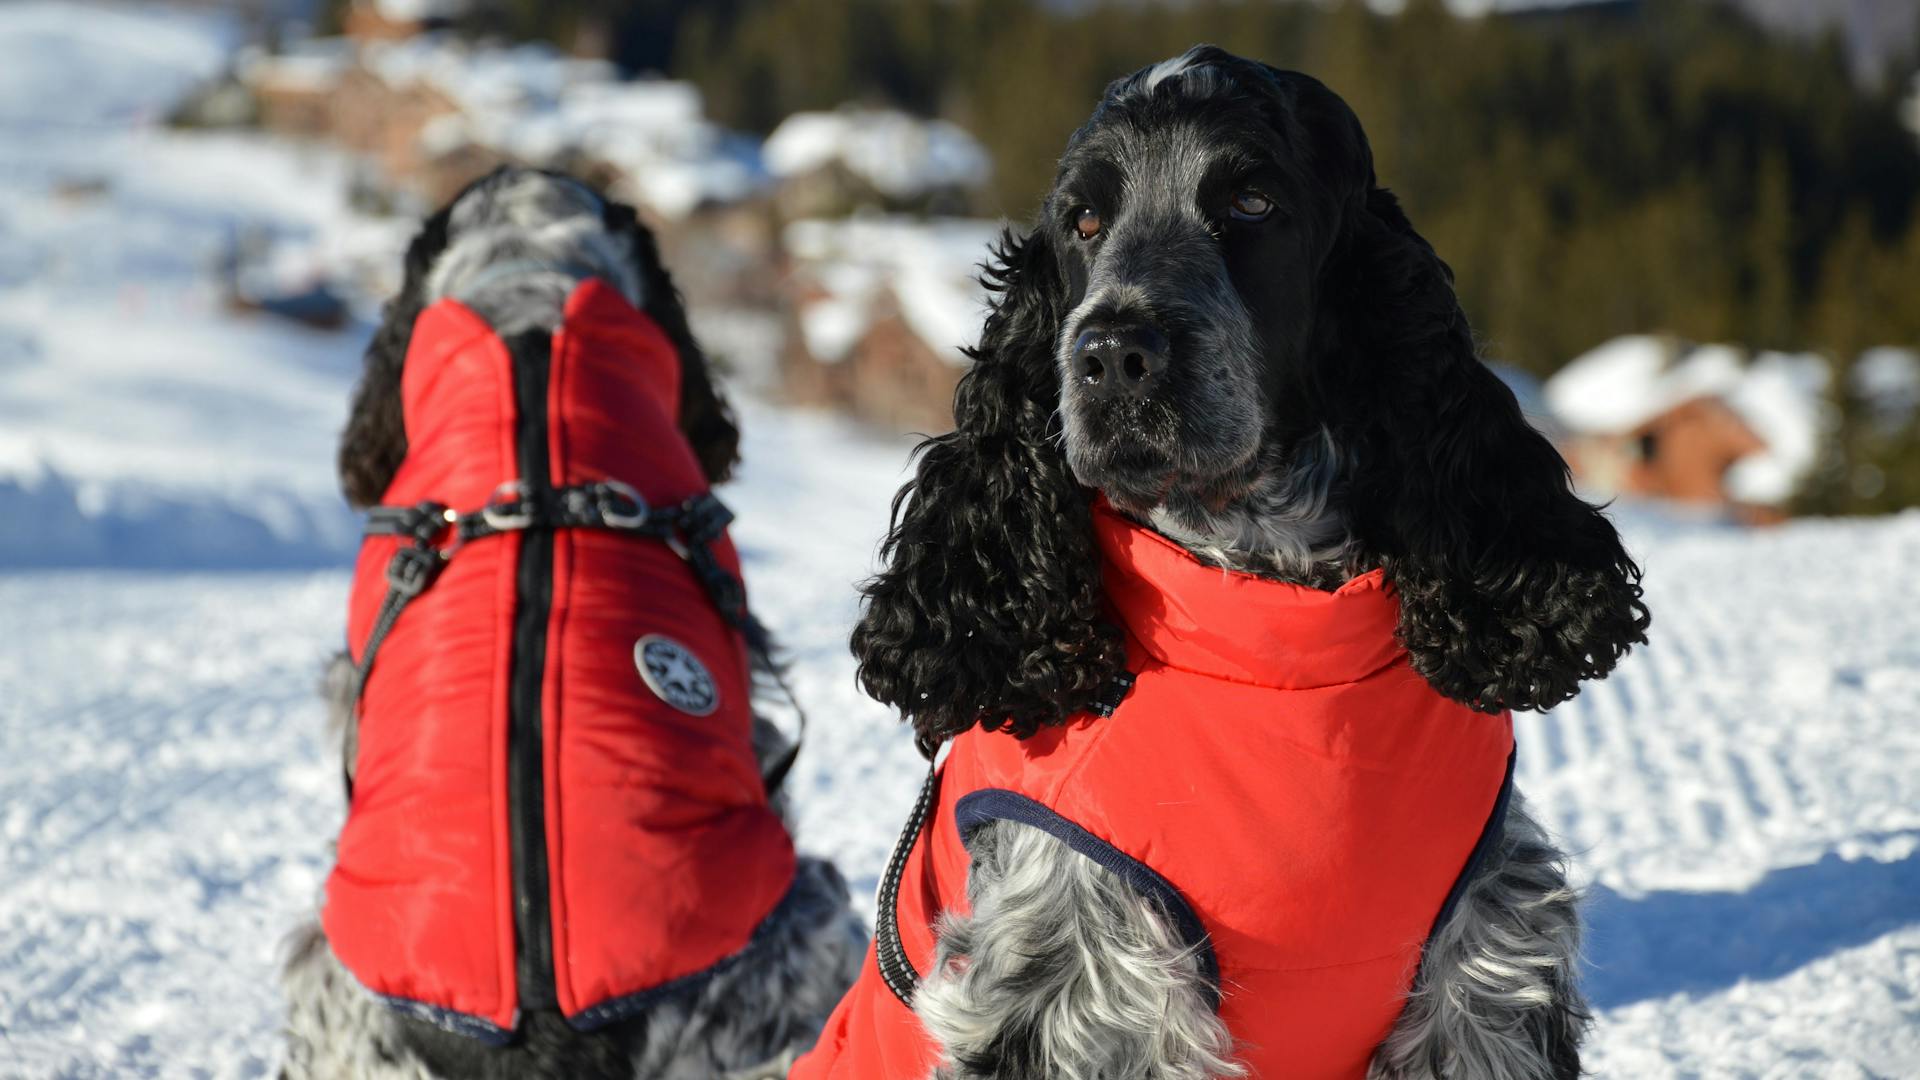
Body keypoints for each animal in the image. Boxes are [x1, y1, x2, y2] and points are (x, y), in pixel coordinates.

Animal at [806, 46, 1651, 1076]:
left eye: (1252, 201)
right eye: (1083, 220)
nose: (1112, 353)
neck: (1274, 634)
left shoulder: (1483, 974)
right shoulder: (1081, 986)